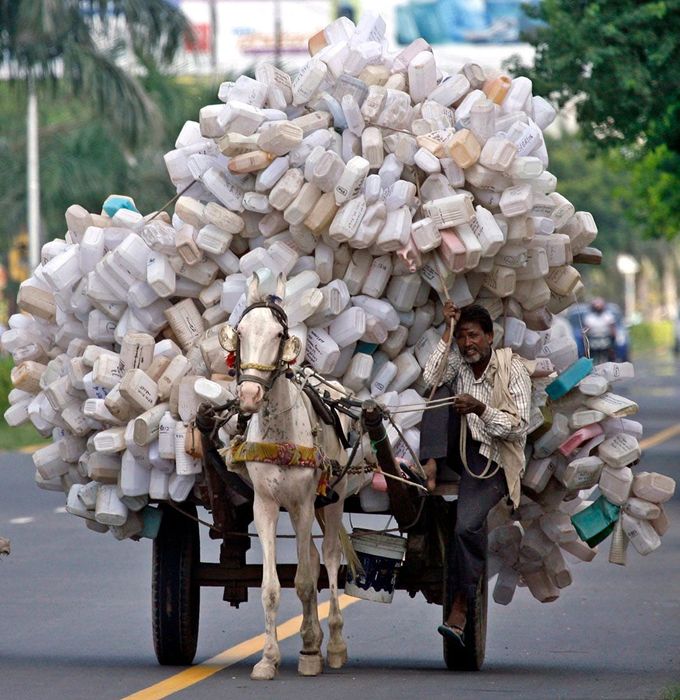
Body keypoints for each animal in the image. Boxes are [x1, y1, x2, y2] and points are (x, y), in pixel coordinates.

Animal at [222, 270, 362, 680]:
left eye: (278, 335)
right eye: (240, 332)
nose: (249, 396)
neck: (280, 433)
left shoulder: (302, 504)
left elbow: (302, 582)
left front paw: (311, 656)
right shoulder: (265, 505)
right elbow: (272, 586)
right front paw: (268, 658)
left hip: (333, 497)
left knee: (328, 559)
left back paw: (333, 644)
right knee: (314, 560)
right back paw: (310, 637)